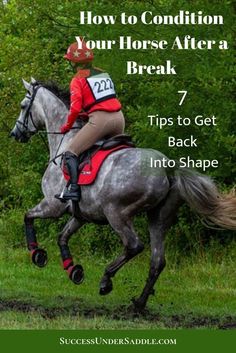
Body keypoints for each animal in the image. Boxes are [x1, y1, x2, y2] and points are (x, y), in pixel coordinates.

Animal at [10, 78, 236, 310]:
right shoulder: (81, 215)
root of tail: (167, 167)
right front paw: (73, 270)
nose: (15, 134)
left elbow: (28, 217)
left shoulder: (52, 206)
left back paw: (106, 280)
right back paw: (139, 303)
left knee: (134, 246)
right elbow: (62, 237)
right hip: (158, 216)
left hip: (117, 213)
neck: (65, 141)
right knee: (157, 260)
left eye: (22, 106)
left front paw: (37, 254)